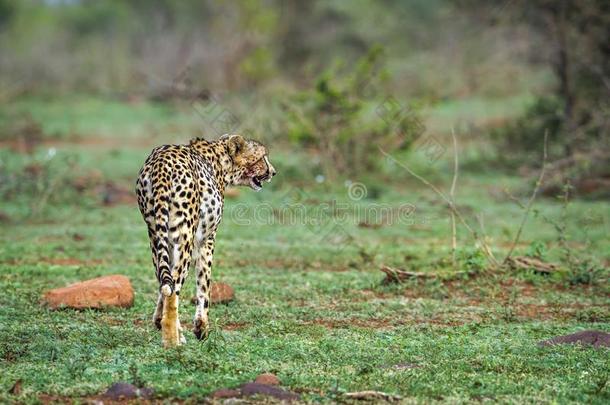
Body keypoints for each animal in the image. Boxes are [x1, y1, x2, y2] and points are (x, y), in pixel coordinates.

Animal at [135, 134, 276, 346]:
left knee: (167, 281)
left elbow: (164, 285)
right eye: (262, 157)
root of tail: (161, 162)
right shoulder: (206, 239)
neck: (220, 160)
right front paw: (201, 328)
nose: (273, 172)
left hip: (155, 233)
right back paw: (172, 342)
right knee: (175, 286)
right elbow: (204, 284)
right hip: (184, 238)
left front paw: (159, 321)